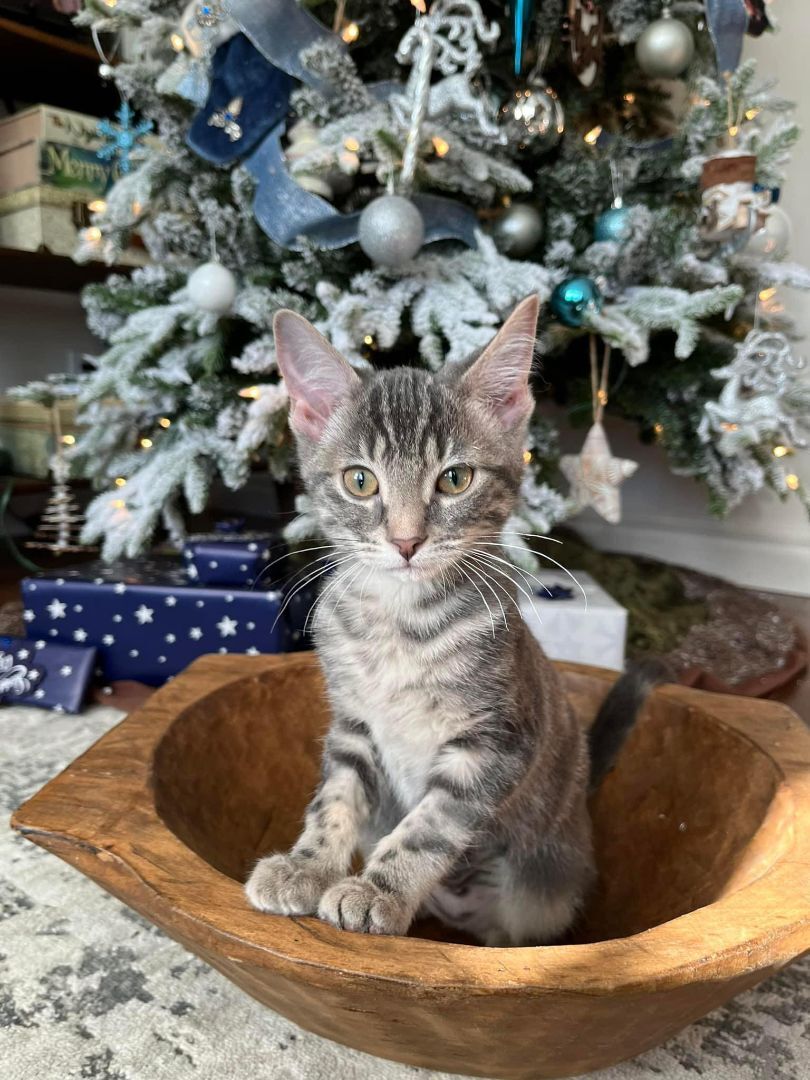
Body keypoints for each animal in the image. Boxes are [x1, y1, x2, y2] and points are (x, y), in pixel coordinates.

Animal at [247, 298, 660, 946]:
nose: (406, 541)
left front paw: (378, 889)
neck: (400, 622)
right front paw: (306, 865)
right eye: (360, 480)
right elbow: (334, 798)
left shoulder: (496, 741)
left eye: (455, 479)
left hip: (540, 887)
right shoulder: (353, 724)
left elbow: (431, 824)